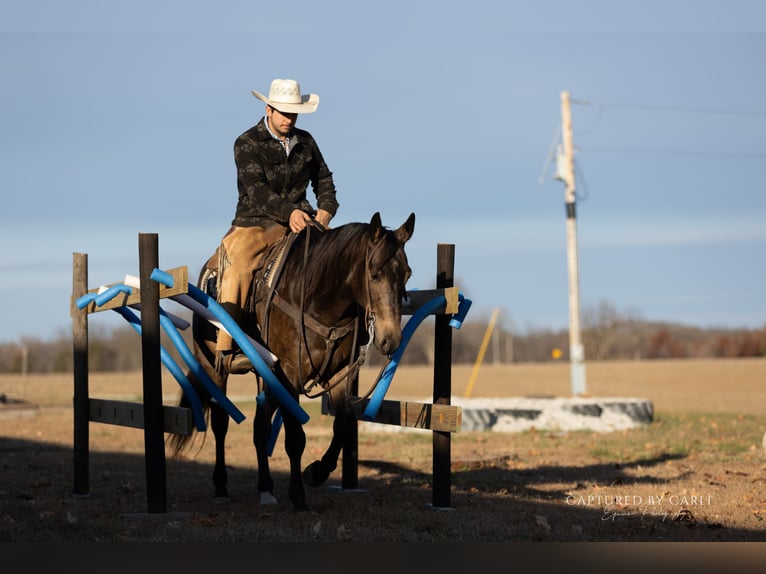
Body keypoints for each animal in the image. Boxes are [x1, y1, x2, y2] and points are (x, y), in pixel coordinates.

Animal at [169, 211, 415, 512]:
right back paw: (221, 486)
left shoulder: (338, 373)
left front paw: (316, 472)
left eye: (407, 273)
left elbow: (344, 424)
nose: (391, 339)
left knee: (260, 427)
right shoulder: (289, 375)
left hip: (264, 377)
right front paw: (298, 496)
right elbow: (295, 438)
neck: (316, 300)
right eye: (374, 272)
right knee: (220, 422)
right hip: (213, 368)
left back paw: (265, 488)